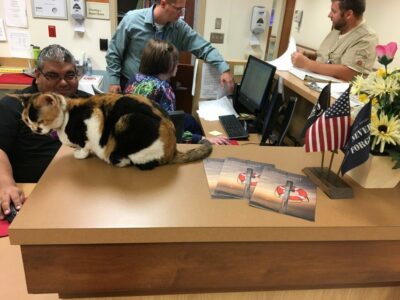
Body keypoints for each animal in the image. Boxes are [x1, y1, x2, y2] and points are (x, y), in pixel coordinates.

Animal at [15, 92, 212, 170]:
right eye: (27, 121)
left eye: (40, 120)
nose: (35, 129)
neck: (66, 117)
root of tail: (173, 150)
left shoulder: (92, 122)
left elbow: (86, 145)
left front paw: (80, 154)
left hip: (125, 121)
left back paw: (117, 159)